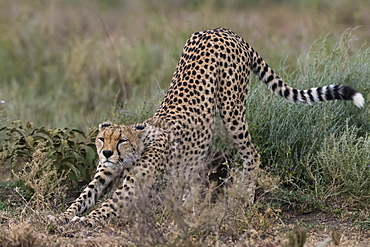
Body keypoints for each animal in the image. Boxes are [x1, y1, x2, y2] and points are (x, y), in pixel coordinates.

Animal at [52, 28, 364, 227]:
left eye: (121, 141)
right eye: (102, 139)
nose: (106, 153)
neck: (137, 147)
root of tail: (223, 30)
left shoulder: (132, 187)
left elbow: (105, 207)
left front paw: (83, 222)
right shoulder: (104, 177)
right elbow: (82, 198)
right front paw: (62, 216)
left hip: (231, 109)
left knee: (252, 154)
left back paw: (245, 199)